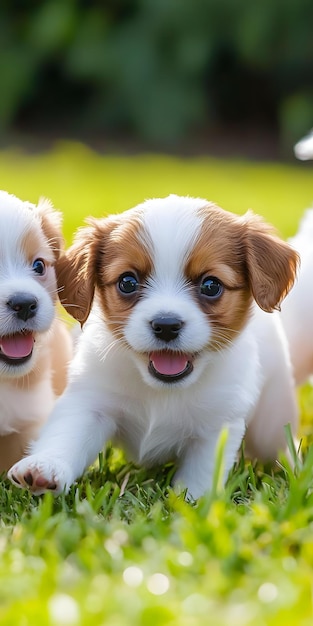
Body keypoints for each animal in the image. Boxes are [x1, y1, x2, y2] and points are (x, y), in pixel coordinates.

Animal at [8, 195, 298, 498]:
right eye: (127, 282)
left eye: (210, 285)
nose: (167, 325)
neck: (161, 391)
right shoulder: (90, 403)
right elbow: (65, 436)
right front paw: (44, 466)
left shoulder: (216, 427)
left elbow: (201, 476)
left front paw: (193, 502)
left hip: (271, 424)